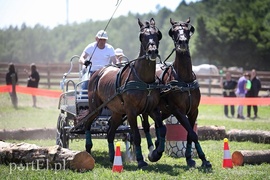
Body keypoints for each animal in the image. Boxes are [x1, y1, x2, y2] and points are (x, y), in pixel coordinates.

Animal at [83, 17, 166, 169]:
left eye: (158, 34)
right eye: (142, 36)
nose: (152, 52)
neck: (144, 79)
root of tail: (98, 72)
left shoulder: (152, 109)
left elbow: (162, 129)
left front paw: (155, 154)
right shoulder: (131, 111)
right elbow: (136, 136)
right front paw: (141, 160)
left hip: (117, 112)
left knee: (110, 133)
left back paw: (112, 157)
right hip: (95, 108)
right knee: (87, 123)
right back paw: (88, 149)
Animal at [142, 17, 212, 169]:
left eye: (186, 30)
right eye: (173, 32)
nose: (182, 42)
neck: (185, 79)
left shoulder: (193, 111)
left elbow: (190, 134)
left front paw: (193, 159)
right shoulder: (178, 111)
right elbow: (192, 134)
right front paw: (202, 159)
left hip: (164, 110)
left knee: (158, 125)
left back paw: (157, 144)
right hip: (147, 109)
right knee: (146, 126)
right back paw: (152, 152)